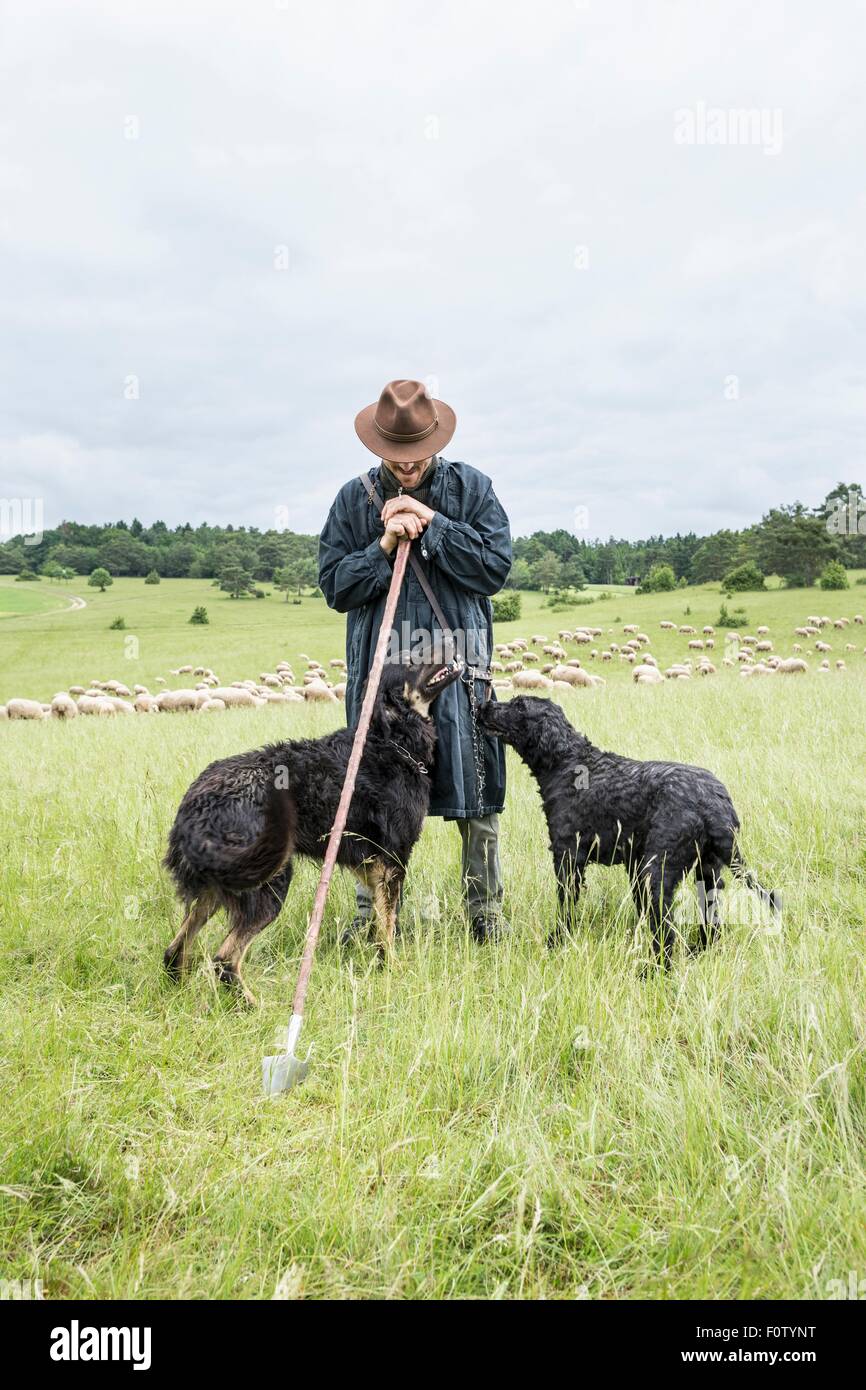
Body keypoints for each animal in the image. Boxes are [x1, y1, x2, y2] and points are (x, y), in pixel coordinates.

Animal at [161, 658, 461, 1000]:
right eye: (411, 661)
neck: (391, 741)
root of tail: (196, 802)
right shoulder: (392, 861)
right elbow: (387, 926)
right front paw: (392, 969)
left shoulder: (369, 866)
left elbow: (377, 921)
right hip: (268, 881)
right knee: (224, 959)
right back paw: (252, 1005)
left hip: (217, 887)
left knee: (175, 950)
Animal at [478, 695, 783, 967]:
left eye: (519, 705)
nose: (484, 704)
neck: (567, 761)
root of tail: (714, 803)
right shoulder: (631, 863)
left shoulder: (568, 856)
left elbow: (566, 909)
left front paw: (557, 942)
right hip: (707, 872)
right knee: (711, 924)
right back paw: (696, 952)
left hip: (656, 873)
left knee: (666, 932)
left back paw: (652, 970)